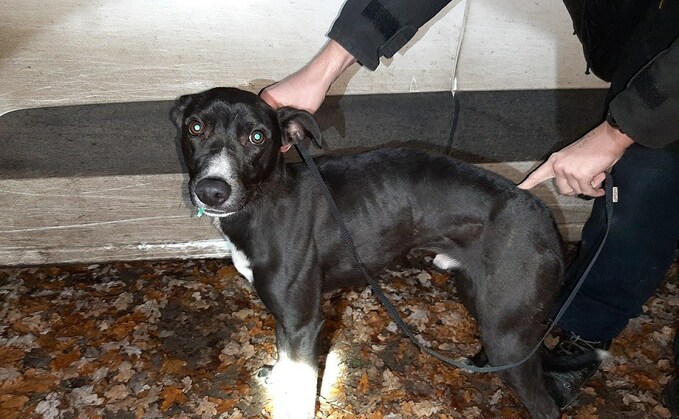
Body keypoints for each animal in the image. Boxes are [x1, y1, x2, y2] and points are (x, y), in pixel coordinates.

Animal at [173, 87, 564, 418]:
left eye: (257, 136)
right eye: (195, 127)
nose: (212, 190)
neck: (264, 200)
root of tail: (544, 215)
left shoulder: (303, 323)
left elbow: (300, 393)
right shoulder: (287, 318)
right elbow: (285, 360)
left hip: (507, 335)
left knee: (546, 407)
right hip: (485, 305)